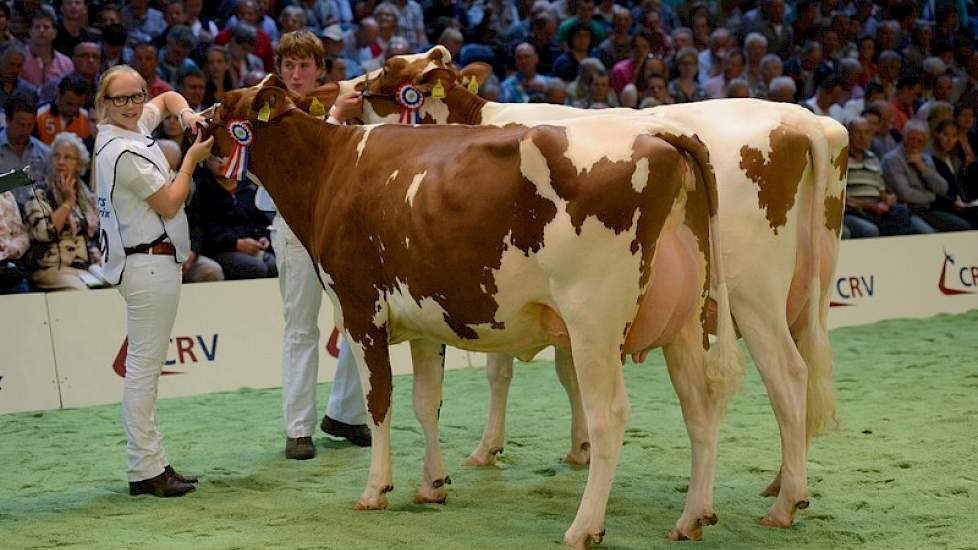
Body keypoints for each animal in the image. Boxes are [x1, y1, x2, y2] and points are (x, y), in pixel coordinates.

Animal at [206, 78, 740, 550]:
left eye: (224, 105)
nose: (195, 127)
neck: (331, 170)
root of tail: (659, 132)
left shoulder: (359, 311)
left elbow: (381, 403)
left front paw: (376, 489)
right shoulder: (423, 322)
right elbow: (427, 402)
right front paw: (433, 484)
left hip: (594, 323)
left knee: (609, 416)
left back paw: (583, 528)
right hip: (686, 323)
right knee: (699, 406)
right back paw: (692, 518)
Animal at [322, 47, 848, 536]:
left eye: (387, 75)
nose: (339, 89)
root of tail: (802, 121)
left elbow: (501, 371)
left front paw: (490, 448)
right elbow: (568, 371)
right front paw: (580, 448)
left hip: (753, 296)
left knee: (788, 375)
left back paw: (785, 503)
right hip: (803, 297)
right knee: (804, 374)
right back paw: (782, 483)